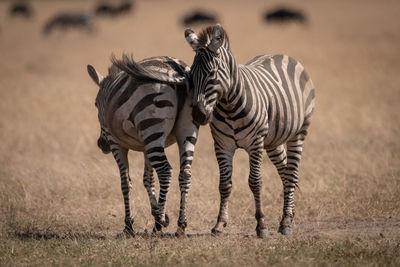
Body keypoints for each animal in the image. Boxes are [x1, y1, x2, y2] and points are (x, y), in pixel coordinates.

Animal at [88, 55, 198, 239]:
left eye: (96, 104)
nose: (100, 145)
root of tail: (178, 70)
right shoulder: (146, 145)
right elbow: (148, 180)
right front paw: (160, 213)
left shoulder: (116, 143)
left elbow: (126, 182)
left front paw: (129, 226)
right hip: (186, 130)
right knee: (185, 173)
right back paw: (180, 225)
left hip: (151, 124)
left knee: (165, 171)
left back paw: (159, 224)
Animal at [185, 25, 316, 239]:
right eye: (190, 75)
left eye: (211, 74)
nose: (198, 115)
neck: (228, 105)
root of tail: (283, 55)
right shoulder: (222, 145)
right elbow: (224, 184)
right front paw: (219, 224)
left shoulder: (255, 143)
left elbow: (255, 182)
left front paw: (261, 225)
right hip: (273, 140)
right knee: (285, 171)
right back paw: (289, 214)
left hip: (299, 133)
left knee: (292, 174)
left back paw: (286, 222)